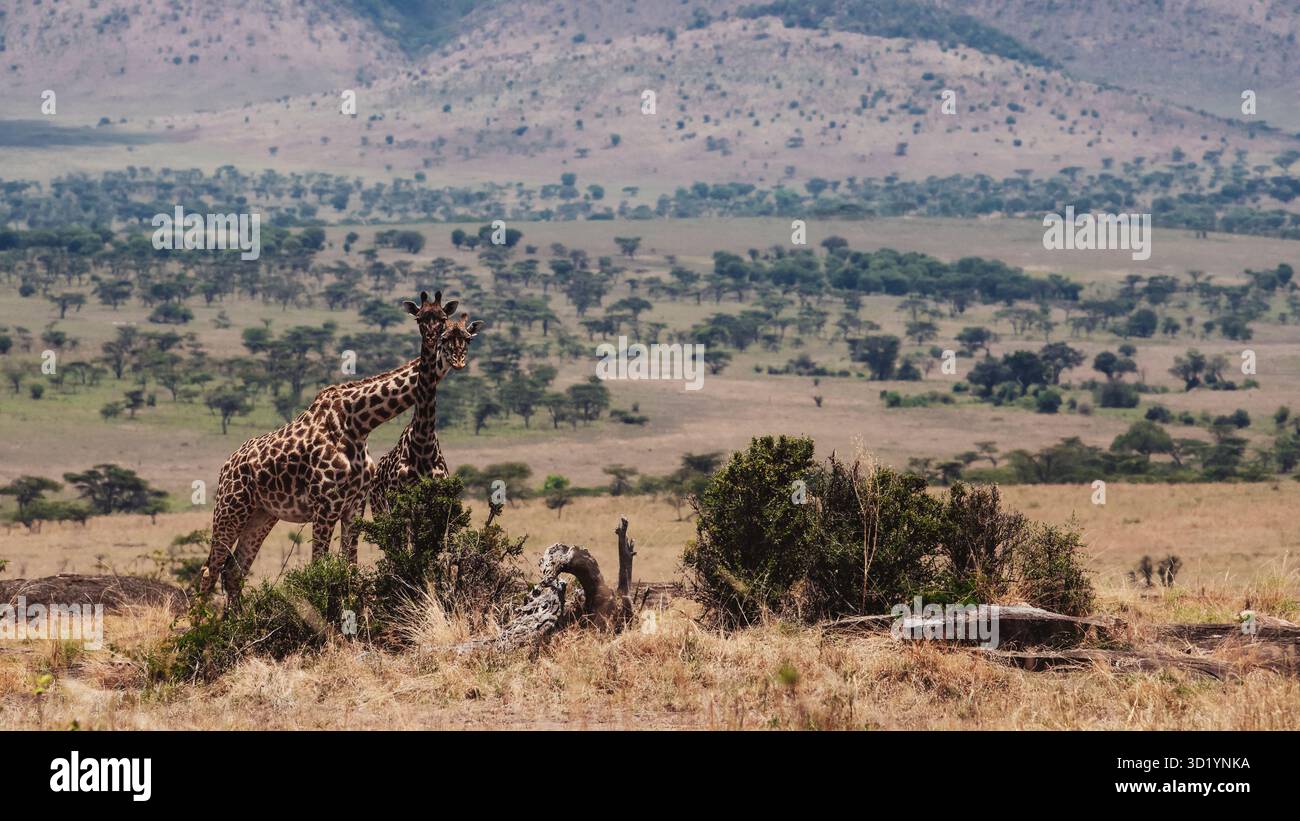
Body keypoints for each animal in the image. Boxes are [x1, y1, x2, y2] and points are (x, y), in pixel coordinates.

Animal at [198, 291, 455, 602]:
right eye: (420, 319)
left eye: (444, 320)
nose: (433, 341)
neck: (358, 423)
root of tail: (226, 465)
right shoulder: (325, 506)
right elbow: (318, 569)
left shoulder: (354, 506)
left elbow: (349, 569)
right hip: (230, 508)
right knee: (209, 570)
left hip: (262, 515)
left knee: (233, 572)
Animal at [369, 309, 482, 515]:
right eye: (443, 338)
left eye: (468, 339)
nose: (458, 362)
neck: (423, 444)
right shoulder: (399, 501)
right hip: (379, 509)